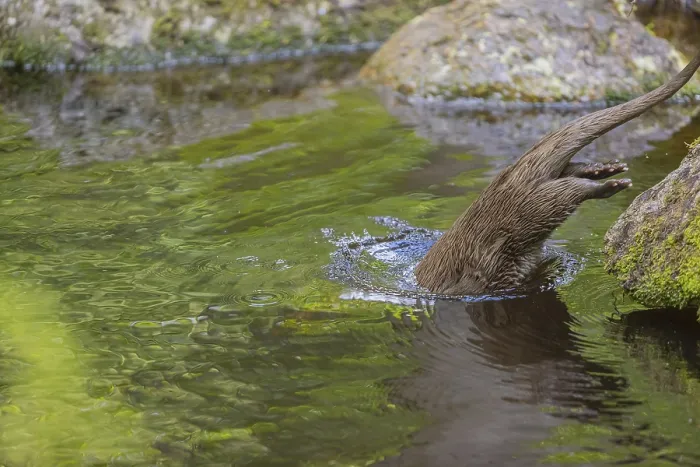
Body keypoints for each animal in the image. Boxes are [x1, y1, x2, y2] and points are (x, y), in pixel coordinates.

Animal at [415, 51, 700, 295]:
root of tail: (515, 173)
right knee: (570, 175)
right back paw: (607, 169)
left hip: (530, 212)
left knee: (571, 191)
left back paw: (611, 185)